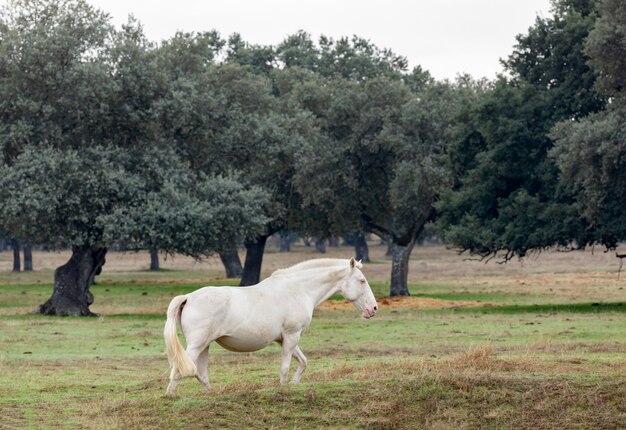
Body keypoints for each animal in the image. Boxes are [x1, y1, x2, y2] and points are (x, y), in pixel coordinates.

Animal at [163, 256, 376, 394]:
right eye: (362, 280)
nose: (373, 308)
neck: (299, 289)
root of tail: (188, 297)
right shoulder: (291, 336)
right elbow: (285, 367)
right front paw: (283, 388)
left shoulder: (285, 339)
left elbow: (303, 362)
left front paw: (294, 384)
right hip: (197, 346)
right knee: (179, 371)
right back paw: (170, 396)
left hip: (205, 346)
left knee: (200, 373)